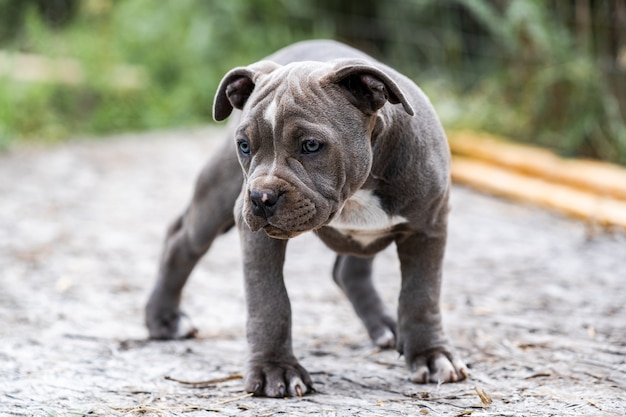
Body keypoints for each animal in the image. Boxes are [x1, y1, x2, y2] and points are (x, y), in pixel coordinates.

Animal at [146, 40, 466, 398]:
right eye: (244, 145)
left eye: (311, 145)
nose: (260, 197)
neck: (357, 191)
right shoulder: (256, 235)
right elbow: (270, 300)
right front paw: (275, 369)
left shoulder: (428, 227)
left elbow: (421, 295)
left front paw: (431, 355)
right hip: (216, 197)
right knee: (182, 241)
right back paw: (163, 319)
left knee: (350, 271)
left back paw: (386, 326)